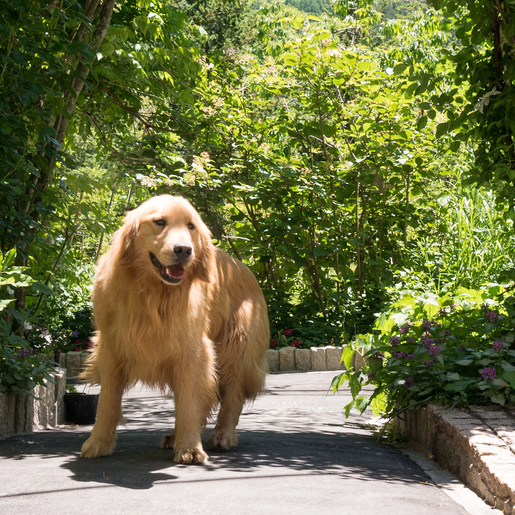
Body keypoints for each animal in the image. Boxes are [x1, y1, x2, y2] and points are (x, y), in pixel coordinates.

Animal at [79, 196, 270, 466]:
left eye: (191, 226)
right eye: (160, 222)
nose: (184, 250)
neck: (153, 294)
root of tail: (245, 268)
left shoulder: (193, 351)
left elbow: (189, 402)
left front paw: (190, 448)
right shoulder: (111, 349)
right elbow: (106, 401)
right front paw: (98, 442)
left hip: (236, 349)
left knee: (232, 397)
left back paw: (222, 434)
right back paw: (174, 436)